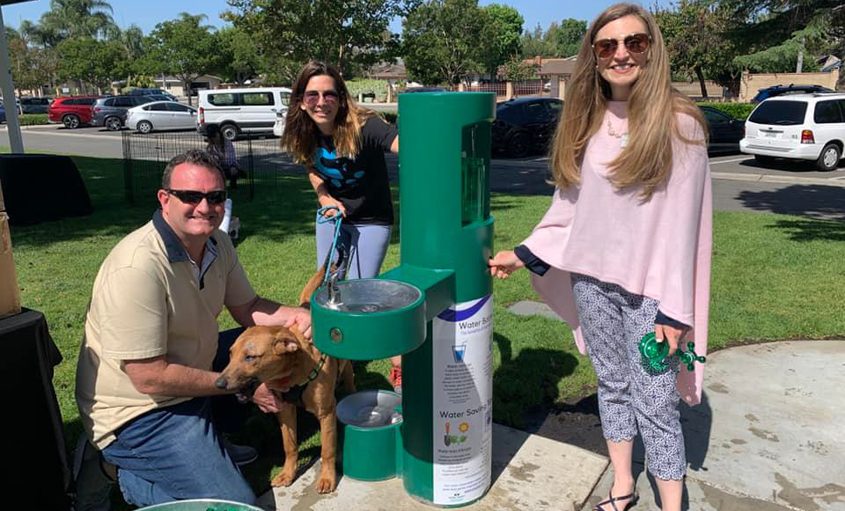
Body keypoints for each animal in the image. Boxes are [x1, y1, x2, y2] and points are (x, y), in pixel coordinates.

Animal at [216, 270, 354, 494]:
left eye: (250, 357)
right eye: (230, 354)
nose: (218, 384)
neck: (292, 375)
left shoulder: (326, 412)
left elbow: (327, 450)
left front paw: (327, 478)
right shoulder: (285, 411)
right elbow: (289, 446)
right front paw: (288, 474)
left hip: (347, 371)